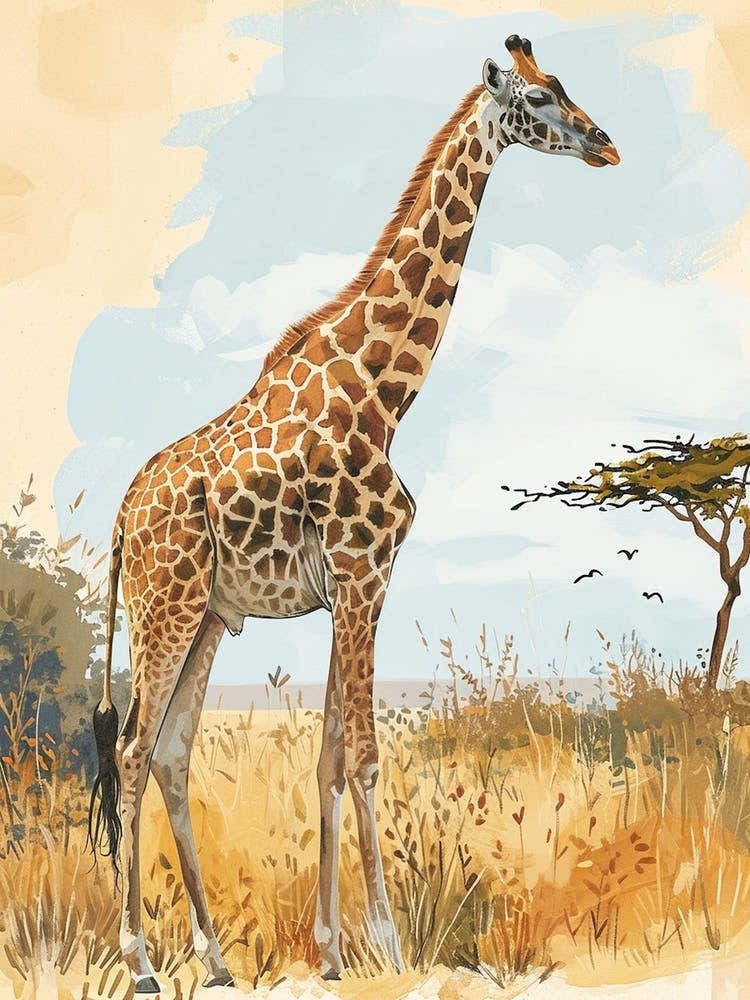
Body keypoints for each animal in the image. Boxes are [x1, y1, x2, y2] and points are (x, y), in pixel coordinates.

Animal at [88, 34, 619, 992]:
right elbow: (365, 757)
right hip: (164, 606)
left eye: (563, 85)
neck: (385, 391)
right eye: (538, 97)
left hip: (208, 617)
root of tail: (119, 521)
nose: (605, 142)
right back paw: (141, 961)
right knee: (135, 751)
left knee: (174, 754)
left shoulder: (348, 585)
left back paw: (216, 960)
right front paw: (392, 942)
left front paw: (335, 951)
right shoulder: (364, 571)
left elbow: (331, 757)